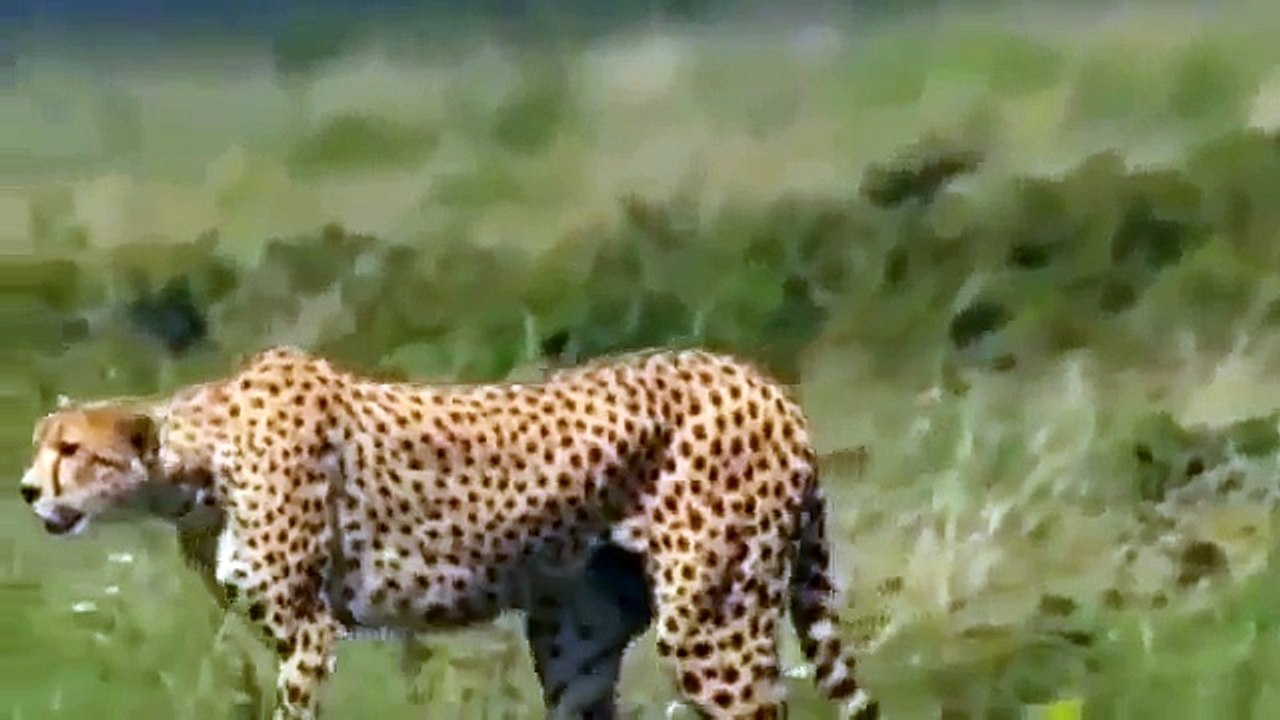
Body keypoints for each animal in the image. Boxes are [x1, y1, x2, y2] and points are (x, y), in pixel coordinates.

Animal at [19, 344, 879, 720]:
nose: (26, 490)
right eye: (41, 443)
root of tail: (762, 380)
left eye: (71, 450)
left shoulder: (306, 631)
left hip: (710, 625)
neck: (197, 463)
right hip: (575, 633)